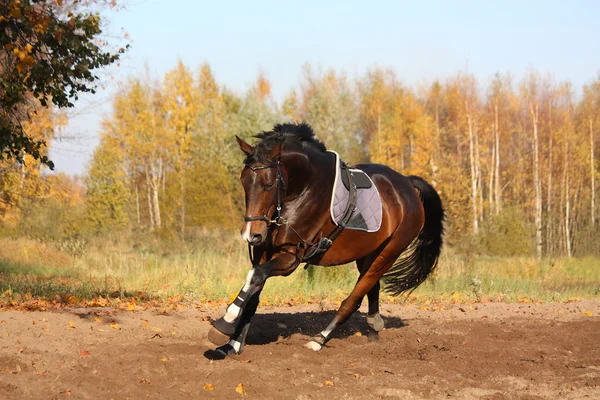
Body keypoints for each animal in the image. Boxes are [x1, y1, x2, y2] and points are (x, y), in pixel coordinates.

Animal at [209, 122, 442, 356]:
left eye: (268, 185)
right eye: (244, 182)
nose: (251, 234)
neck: (301, 189)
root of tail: (408, 185)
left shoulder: (290, 257)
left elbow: (256, 276)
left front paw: (225, 322)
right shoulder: (263, 252)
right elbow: (253, 290)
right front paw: (232, 344)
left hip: (389, 253)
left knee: (354, 298)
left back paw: (319, 339)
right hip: (367, 254)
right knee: (371, 289)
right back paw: (373, 329)